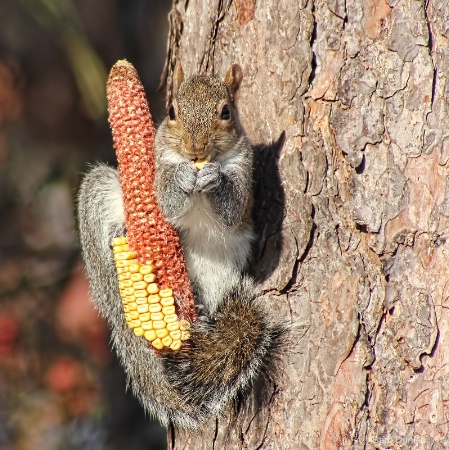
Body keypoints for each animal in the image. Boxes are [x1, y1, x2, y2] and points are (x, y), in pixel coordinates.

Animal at [77, 63, 280, 428]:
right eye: (171, 111)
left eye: (226, 112)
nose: (195, 149)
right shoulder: (159, 169)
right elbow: (167, 202)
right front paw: (184, 178)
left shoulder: (243, 172)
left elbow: (232, 208)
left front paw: (214, 179)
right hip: (96, 202)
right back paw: (118, 240)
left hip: (215, 274)